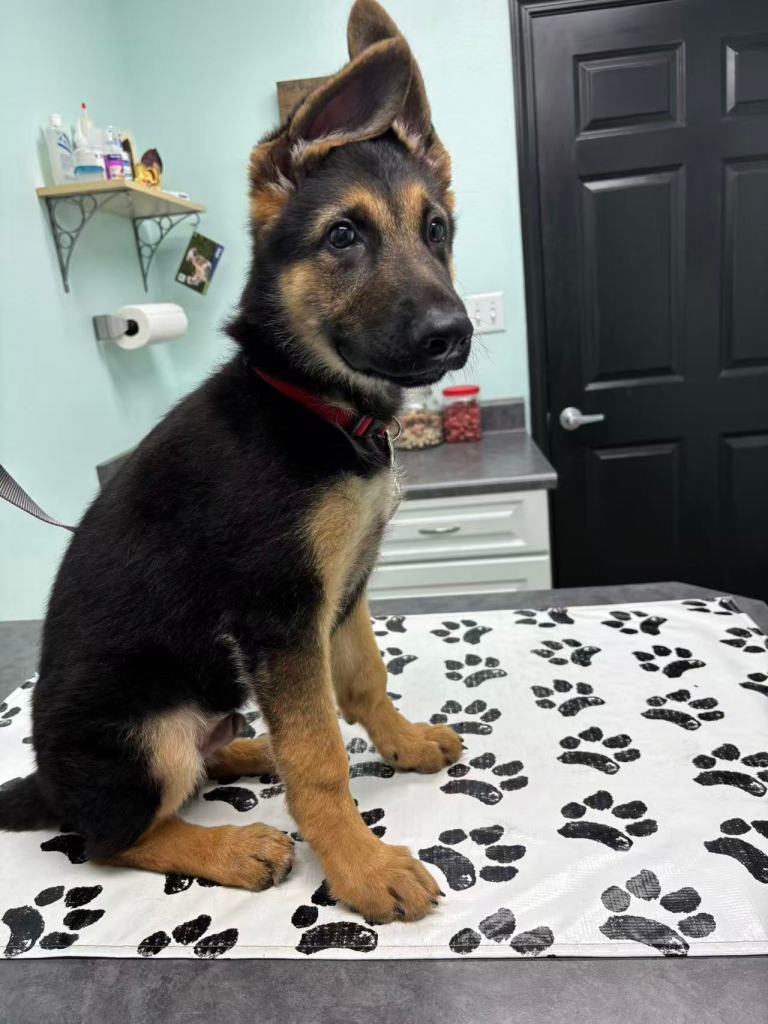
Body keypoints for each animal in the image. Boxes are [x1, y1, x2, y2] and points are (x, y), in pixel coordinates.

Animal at [0, 0, 472, 924]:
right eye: (343, 236)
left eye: (436, 230)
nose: (454, 334)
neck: (313, 403)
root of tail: (46, 784)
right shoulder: (279, 615)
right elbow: (320, 756)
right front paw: (359, 867)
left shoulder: (341, 595)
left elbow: (362, 684)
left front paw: (400, 745)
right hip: (143, 734)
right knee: (114, 836)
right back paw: (232, 844)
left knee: (208, 761)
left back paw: (251, 751)